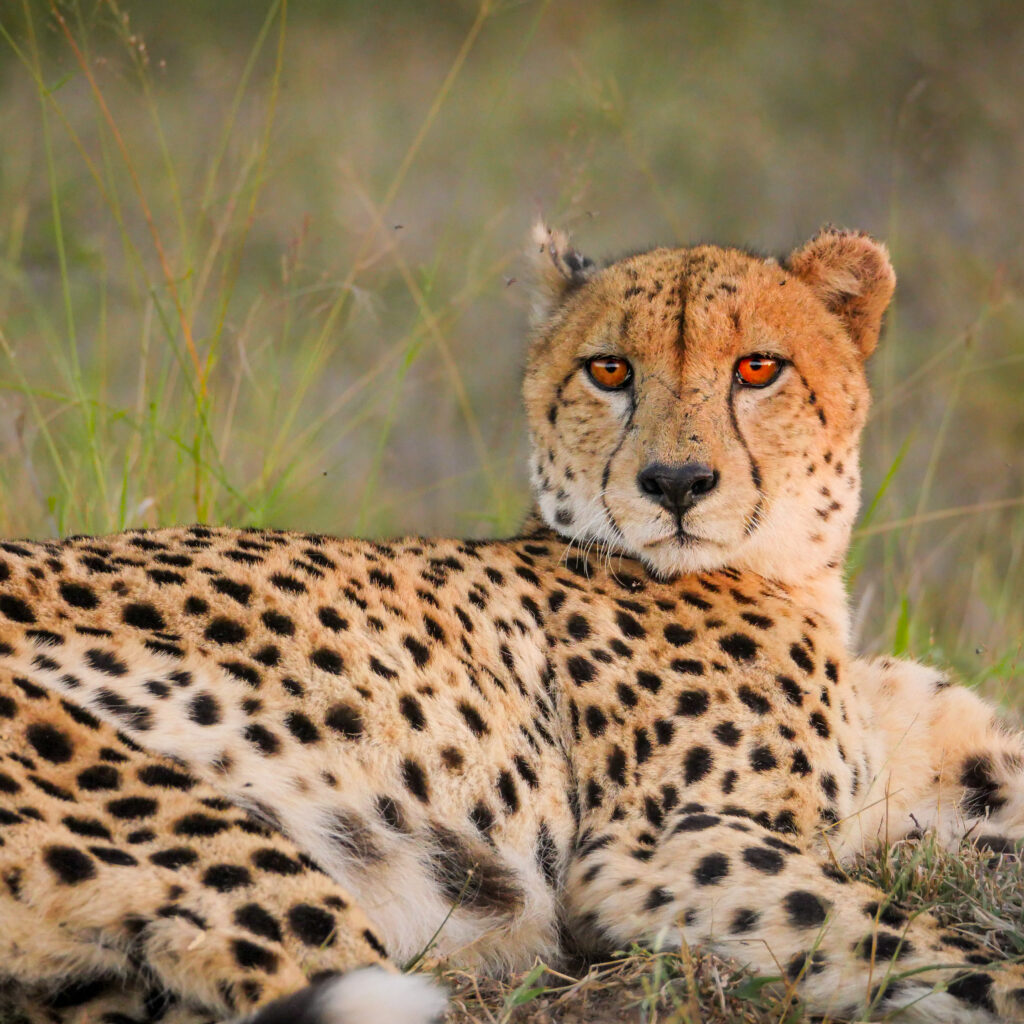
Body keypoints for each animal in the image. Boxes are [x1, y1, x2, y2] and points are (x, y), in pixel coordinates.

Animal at [1, 221, 1023, 1024]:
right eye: (609, 370)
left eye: (758, 368)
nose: (676, 484)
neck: (789, 570)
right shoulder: (657, 846)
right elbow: (915, 944)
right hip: (259, 872)